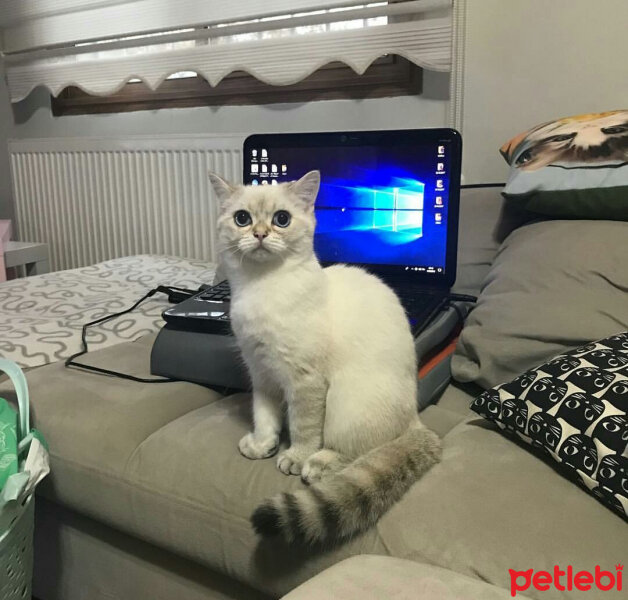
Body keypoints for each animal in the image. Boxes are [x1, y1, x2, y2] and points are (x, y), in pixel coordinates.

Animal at [209, 170, 440, 544]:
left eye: (282, 219)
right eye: (242, 218)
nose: (260, 234)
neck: (261, 287)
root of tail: (417, 421)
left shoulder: (305, 381)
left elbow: (302, 426)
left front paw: (293, 456)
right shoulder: (261, 374)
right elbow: (265, 417)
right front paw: (262, 445)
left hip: (344, 404)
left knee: (360, 452)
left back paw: (316, 465)